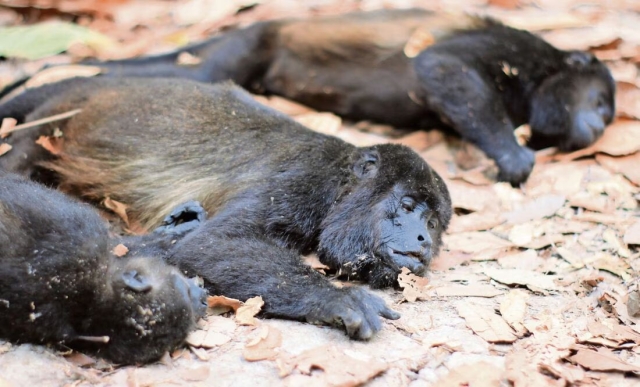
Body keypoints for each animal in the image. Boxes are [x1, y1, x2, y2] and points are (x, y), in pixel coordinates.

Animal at [0, 77, 450, 342]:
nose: (423, 239)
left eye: (432, 222)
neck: (341, 179)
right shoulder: (304, 179)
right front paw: (338, 300)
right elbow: (215, 243)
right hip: (51, 122)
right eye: (407, 205)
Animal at [27, 8, 612, 185]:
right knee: (214, 70)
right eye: (604, 102)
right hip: (252, 43)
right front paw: (514, 156)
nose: (603, 126)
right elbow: (440, 65)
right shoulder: (515, 46)